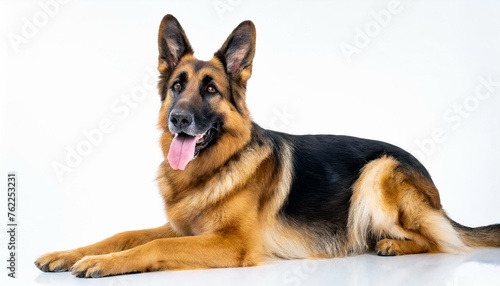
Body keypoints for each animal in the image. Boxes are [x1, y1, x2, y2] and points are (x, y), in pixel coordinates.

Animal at [36, 13, 500, 278]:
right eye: (177, 87)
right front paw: (70, 254)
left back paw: (391, 245)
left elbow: (155, 245)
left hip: (378, 170)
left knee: (441, 240)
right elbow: (124, 234)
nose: (178, 119)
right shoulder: (185, 227)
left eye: (211, 90)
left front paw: (101, 264)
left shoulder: (231, 243)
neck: (214, 166)